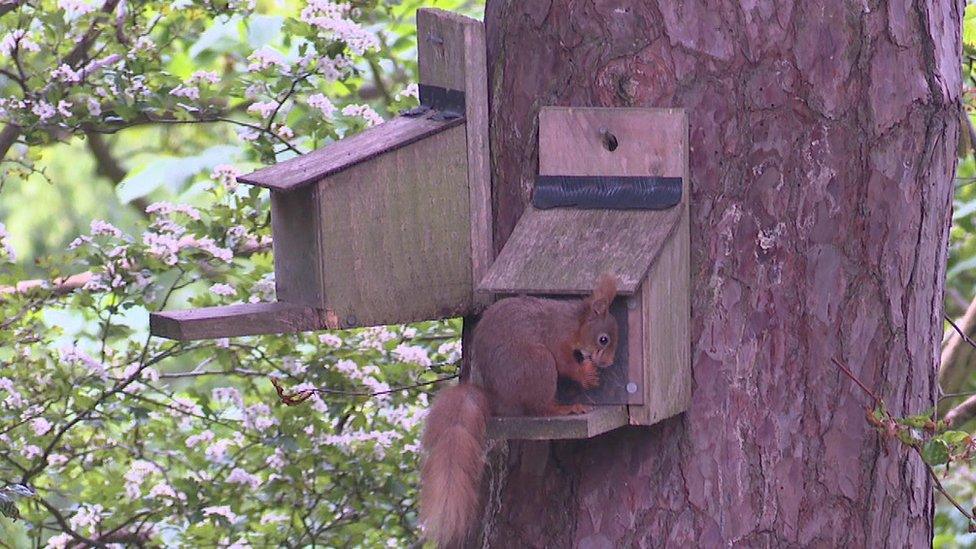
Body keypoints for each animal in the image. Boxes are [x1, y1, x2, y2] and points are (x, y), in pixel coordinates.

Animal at [418, 274, 616, 544]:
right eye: (603, 339)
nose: (609, 363)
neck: (574, 323)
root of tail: (496, 399)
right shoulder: (557, 338)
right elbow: (565, 363)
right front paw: (585, 375)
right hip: (537, 362)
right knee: (541, 406)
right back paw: (565, 409)